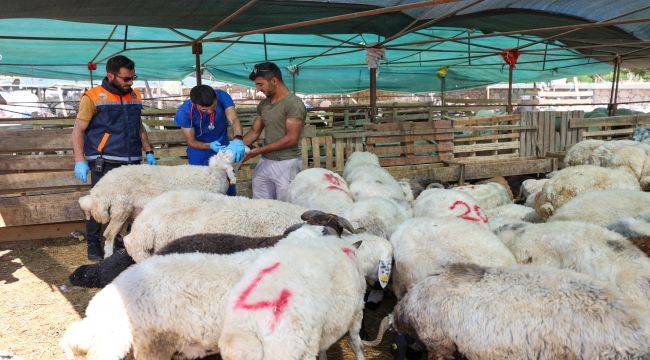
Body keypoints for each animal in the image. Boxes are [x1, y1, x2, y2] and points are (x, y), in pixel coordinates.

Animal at [78, 150, 235, 258]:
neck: (216, 173)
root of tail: (103, 185)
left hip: (125, 210)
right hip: (121, 207)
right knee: (109, 233)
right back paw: (108, 255)